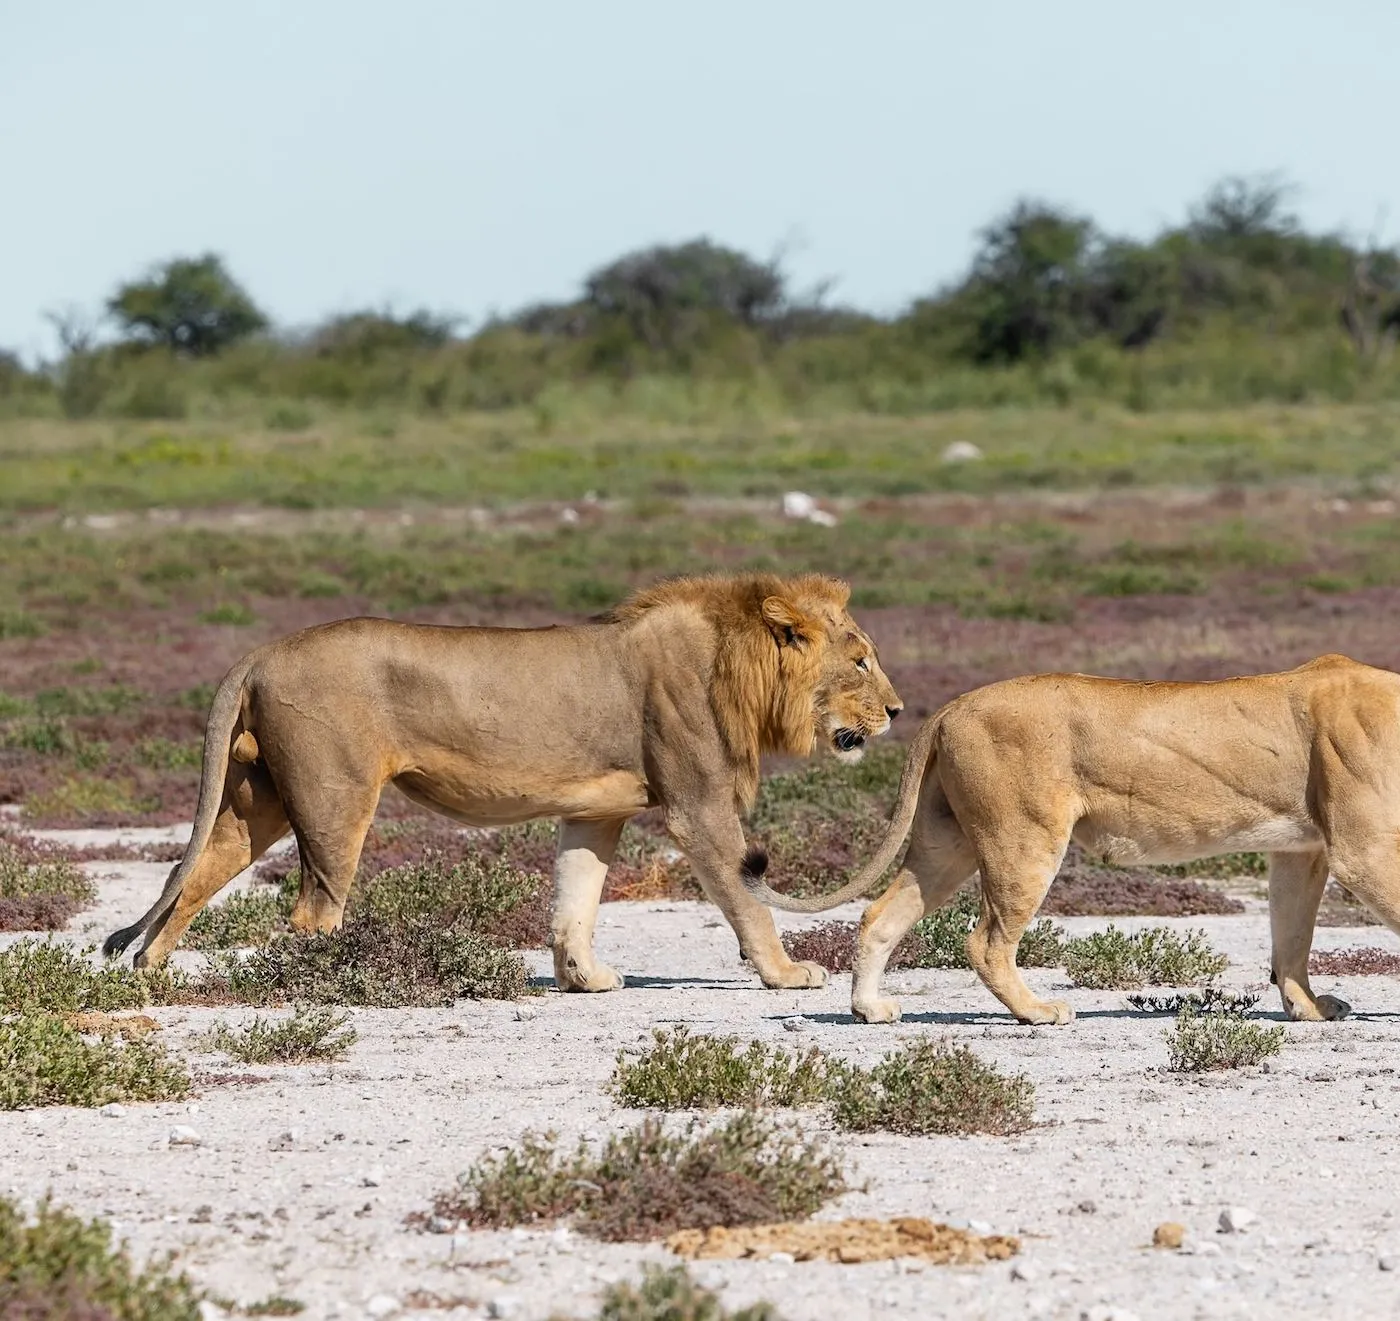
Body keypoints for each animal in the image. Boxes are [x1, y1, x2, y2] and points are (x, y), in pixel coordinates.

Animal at [103, 572, 902, 993]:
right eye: (860, 659)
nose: (898, 711)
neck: (735, 665)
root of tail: (263, 650)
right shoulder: (698, 808)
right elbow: (747, 900)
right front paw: (787, 973)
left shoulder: (596, 809)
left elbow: (576, 899)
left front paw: (584, 977)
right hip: (336, 800)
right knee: (311, 912)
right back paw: (331, 984)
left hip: (259, 801)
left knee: (191, 876)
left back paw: (150, 974)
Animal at [744, 654, 1400, 1026]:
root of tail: (953, 706)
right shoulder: (1362, 851)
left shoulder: (1302, 849)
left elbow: (1292, 936)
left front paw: (1308, 1008)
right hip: (1025, 838)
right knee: (986, 941)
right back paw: (1040, 1013)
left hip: (946, 842)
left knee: (881, 913)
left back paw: (871, 1010)